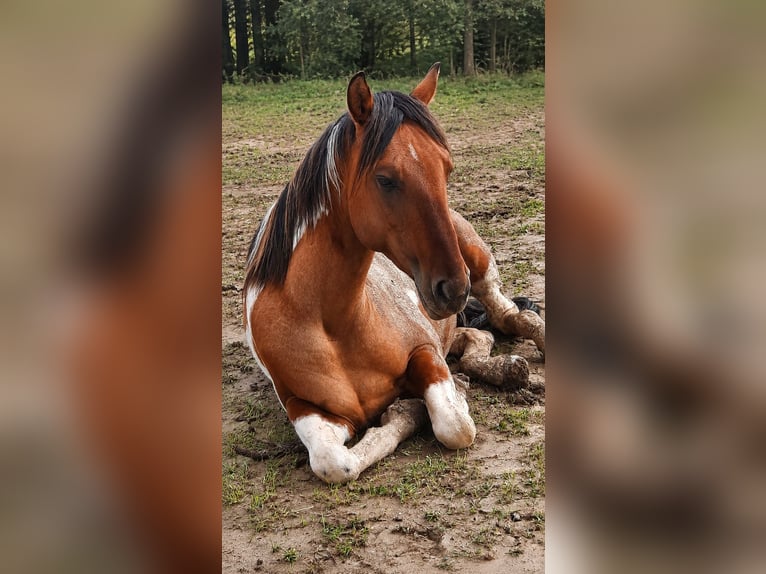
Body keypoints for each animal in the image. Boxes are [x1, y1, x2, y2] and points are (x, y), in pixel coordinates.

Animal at [243, 63, 545, 484]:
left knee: (513, 316)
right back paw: (496, 368)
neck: (332, 325)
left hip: (475, 259)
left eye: (446, 169)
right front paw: (408, 408)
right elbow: (334, 462)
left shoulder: (424, 351)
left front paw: (414, 407)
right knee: (480, 335)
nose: (454, 287)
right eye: (385, 179)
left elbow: (454, 425)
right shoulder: (303, 406)